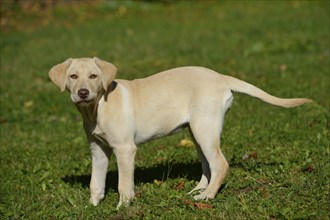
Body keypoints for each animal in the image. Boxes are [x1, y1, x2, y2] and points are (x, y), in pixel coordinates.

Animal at [49, 56, 312, 208]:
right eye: (73, 76)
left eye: (94, 76)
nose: (83, 93)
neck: (96, 108)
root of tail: (220, 77)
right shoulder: (98, 149)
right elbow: (95, 181)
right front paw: (92, 205)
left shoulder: (125, 149)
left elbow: (124, 183)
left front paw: (123, 207)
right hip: (197, 131)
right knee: (207, 165)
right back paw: (199, 190)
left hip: (204, 128)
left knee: (220, 164)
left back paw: (206, 197)